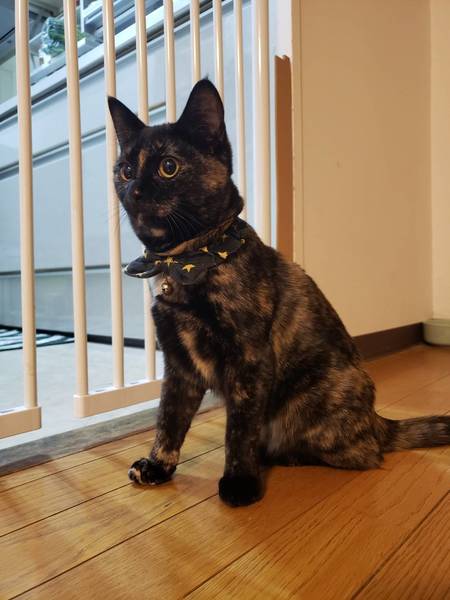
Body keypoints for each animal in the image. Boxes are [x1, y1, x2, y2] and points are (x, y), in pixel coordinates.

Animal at [108, 79, 450, 507]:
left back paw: (283, 456)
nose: (135, 191)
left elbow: (239, 430)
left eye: (167, 166)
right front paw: (158, 465)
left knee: (365, 454)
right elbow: (169, 418)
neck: (186, 261)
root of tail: (378, 421)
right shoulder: (179, 364)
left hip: (313, 404)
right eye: (125, 170)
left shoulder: (249, 361)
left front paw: (240, 482)